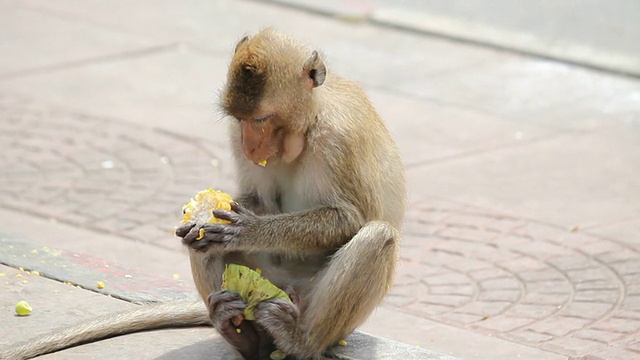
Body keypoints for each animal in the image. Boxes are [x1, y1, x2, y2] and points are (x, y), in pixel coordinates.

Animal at [0, 28, 408, 360]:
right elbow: (245, 200)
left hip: (314, 308)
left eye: (261, 119)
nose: (248, 145)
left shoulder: (340, 137)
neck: (307, 127)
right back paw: (240, 332)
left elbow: (353, 217)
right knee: (204, 247)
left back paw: (297, 341)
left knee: (376, 236)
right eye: (241, 120)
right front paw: (202, 217)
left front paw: (250, 230)